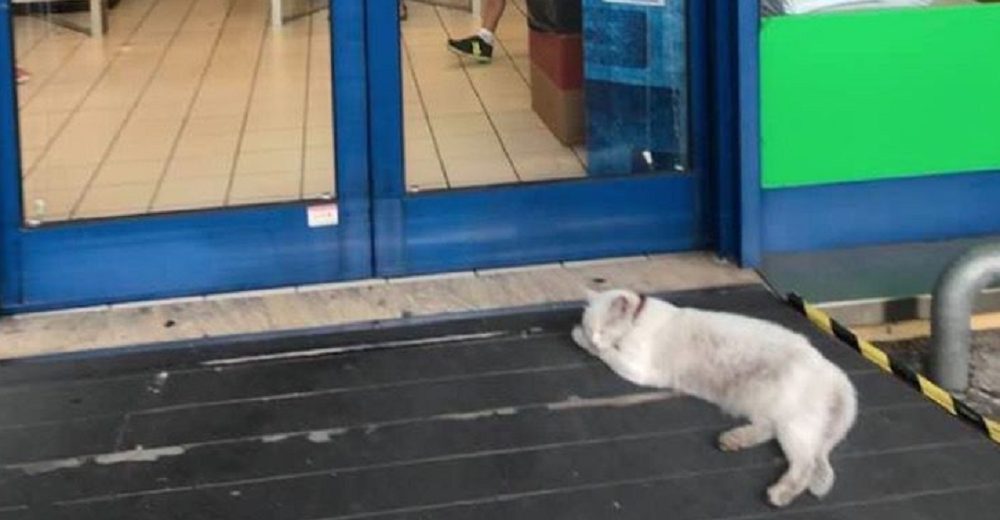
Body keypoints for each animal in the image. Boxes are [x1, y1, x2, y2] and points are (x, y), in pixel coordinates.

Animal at [576, 288, 856, 508]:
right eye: (592, 327)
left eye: (602, 329)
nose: (593, 337)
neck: (638, 318)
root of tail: (834, 372)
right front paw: (582, 336)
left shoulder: (639, 368)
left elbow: (607, 354)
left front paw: (582, 339)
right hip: (769, 410)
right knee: (770, 431)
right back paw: (733, 440)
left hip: (793, 423)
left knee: (805, 464)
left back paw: (779, 494)